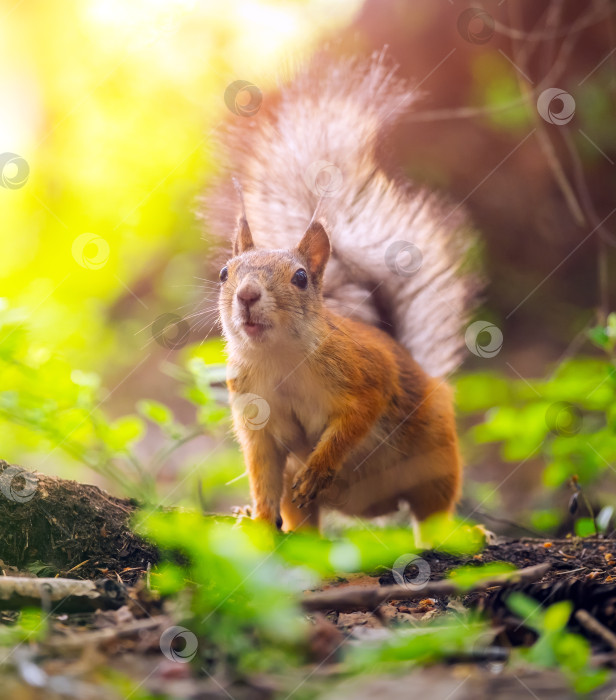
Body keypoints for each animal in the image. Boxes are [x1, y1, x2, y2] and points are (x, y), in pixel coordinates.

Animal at [207, 53, 476, 536]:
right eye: (224, 273)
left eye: (299, 278)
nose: (248, 296)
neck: (278, 360)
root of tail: (371, 508)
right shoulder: (256, 419)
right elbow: (262, 473)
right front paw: (257, 518)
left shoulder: (364, 373)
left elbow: (355, 419)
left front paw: (320, 467)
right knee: (301, 514)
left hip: (436, 455)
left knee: (432, 512)